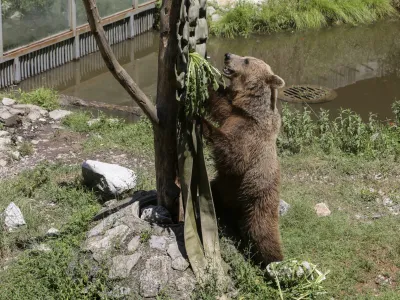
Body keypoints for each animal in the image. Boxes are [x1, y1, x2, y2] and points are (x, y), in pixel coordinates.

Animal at [203, 52, 284, 266]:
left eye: (247, 60)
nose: (228, 55)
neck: (250, 109)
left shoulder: (252, 136)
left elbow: (235, 157)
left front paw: (203, 123)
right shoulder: (232, 113)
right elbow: (219, 103)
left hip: (257, 198)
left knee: (262, 232)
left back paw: (273, 262)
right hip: (222, 188)